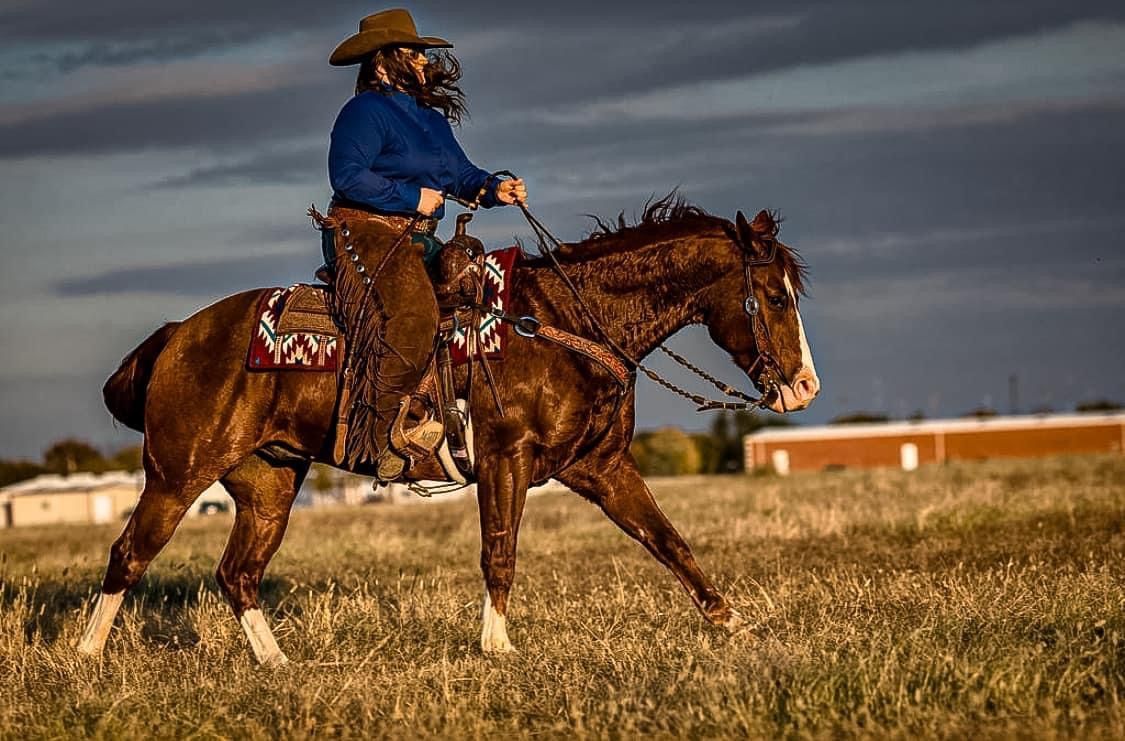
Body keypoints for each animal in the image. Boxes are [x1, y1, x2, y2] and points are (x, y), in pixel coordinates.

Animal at [76, 197, 820, 665]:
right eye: (773, 296)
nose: (805, 386)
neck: (562, 324)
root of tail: (180, 334)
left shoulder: (602, 467)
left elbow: (669, 541)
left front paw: (733, 622)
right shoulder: (502, 458)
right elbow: (500, 552)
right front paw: (497, 645)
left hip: (268, 485)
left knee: (238, 574)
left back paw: (279, 663)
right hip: (176, 474)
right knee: (128, 555)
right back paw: (84, 658)